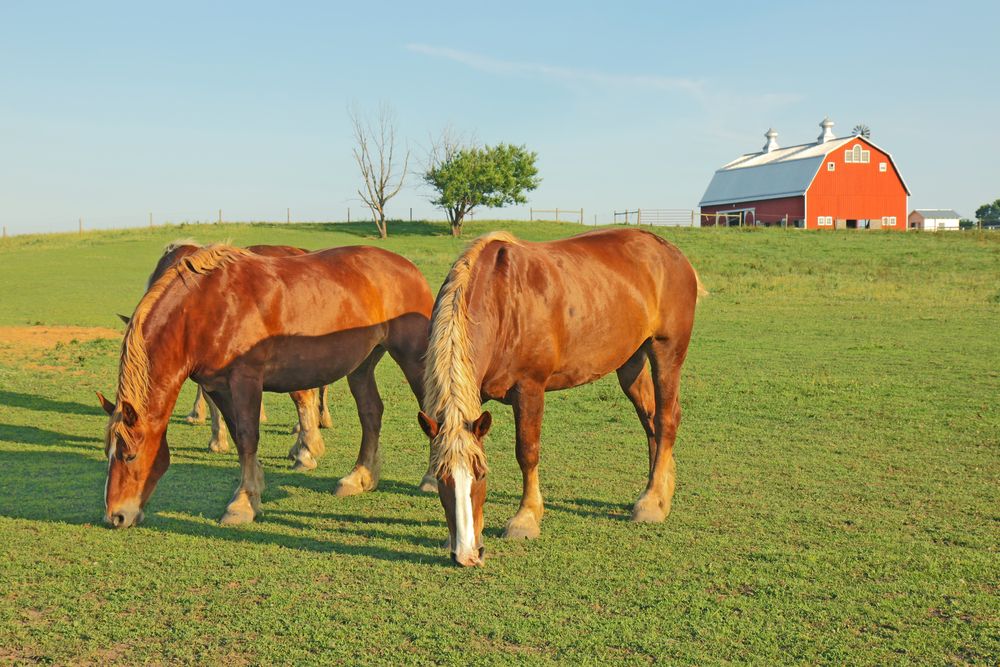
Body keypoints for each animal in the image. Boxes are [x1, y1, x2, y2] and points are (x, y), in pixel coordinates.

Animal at [416, 228, 704, 566]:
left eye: (481, 474)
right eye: (441, 477)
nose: (466, 555)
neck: (501, 301)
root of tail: (673, 254)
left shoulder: (529, 388)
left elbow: (527, 452)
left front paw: (526, 518)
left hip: (666, 351)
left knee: (666, 418)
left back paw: (652, 501)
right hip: (631, 361)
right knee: (650, 418)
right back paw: (659, 493)